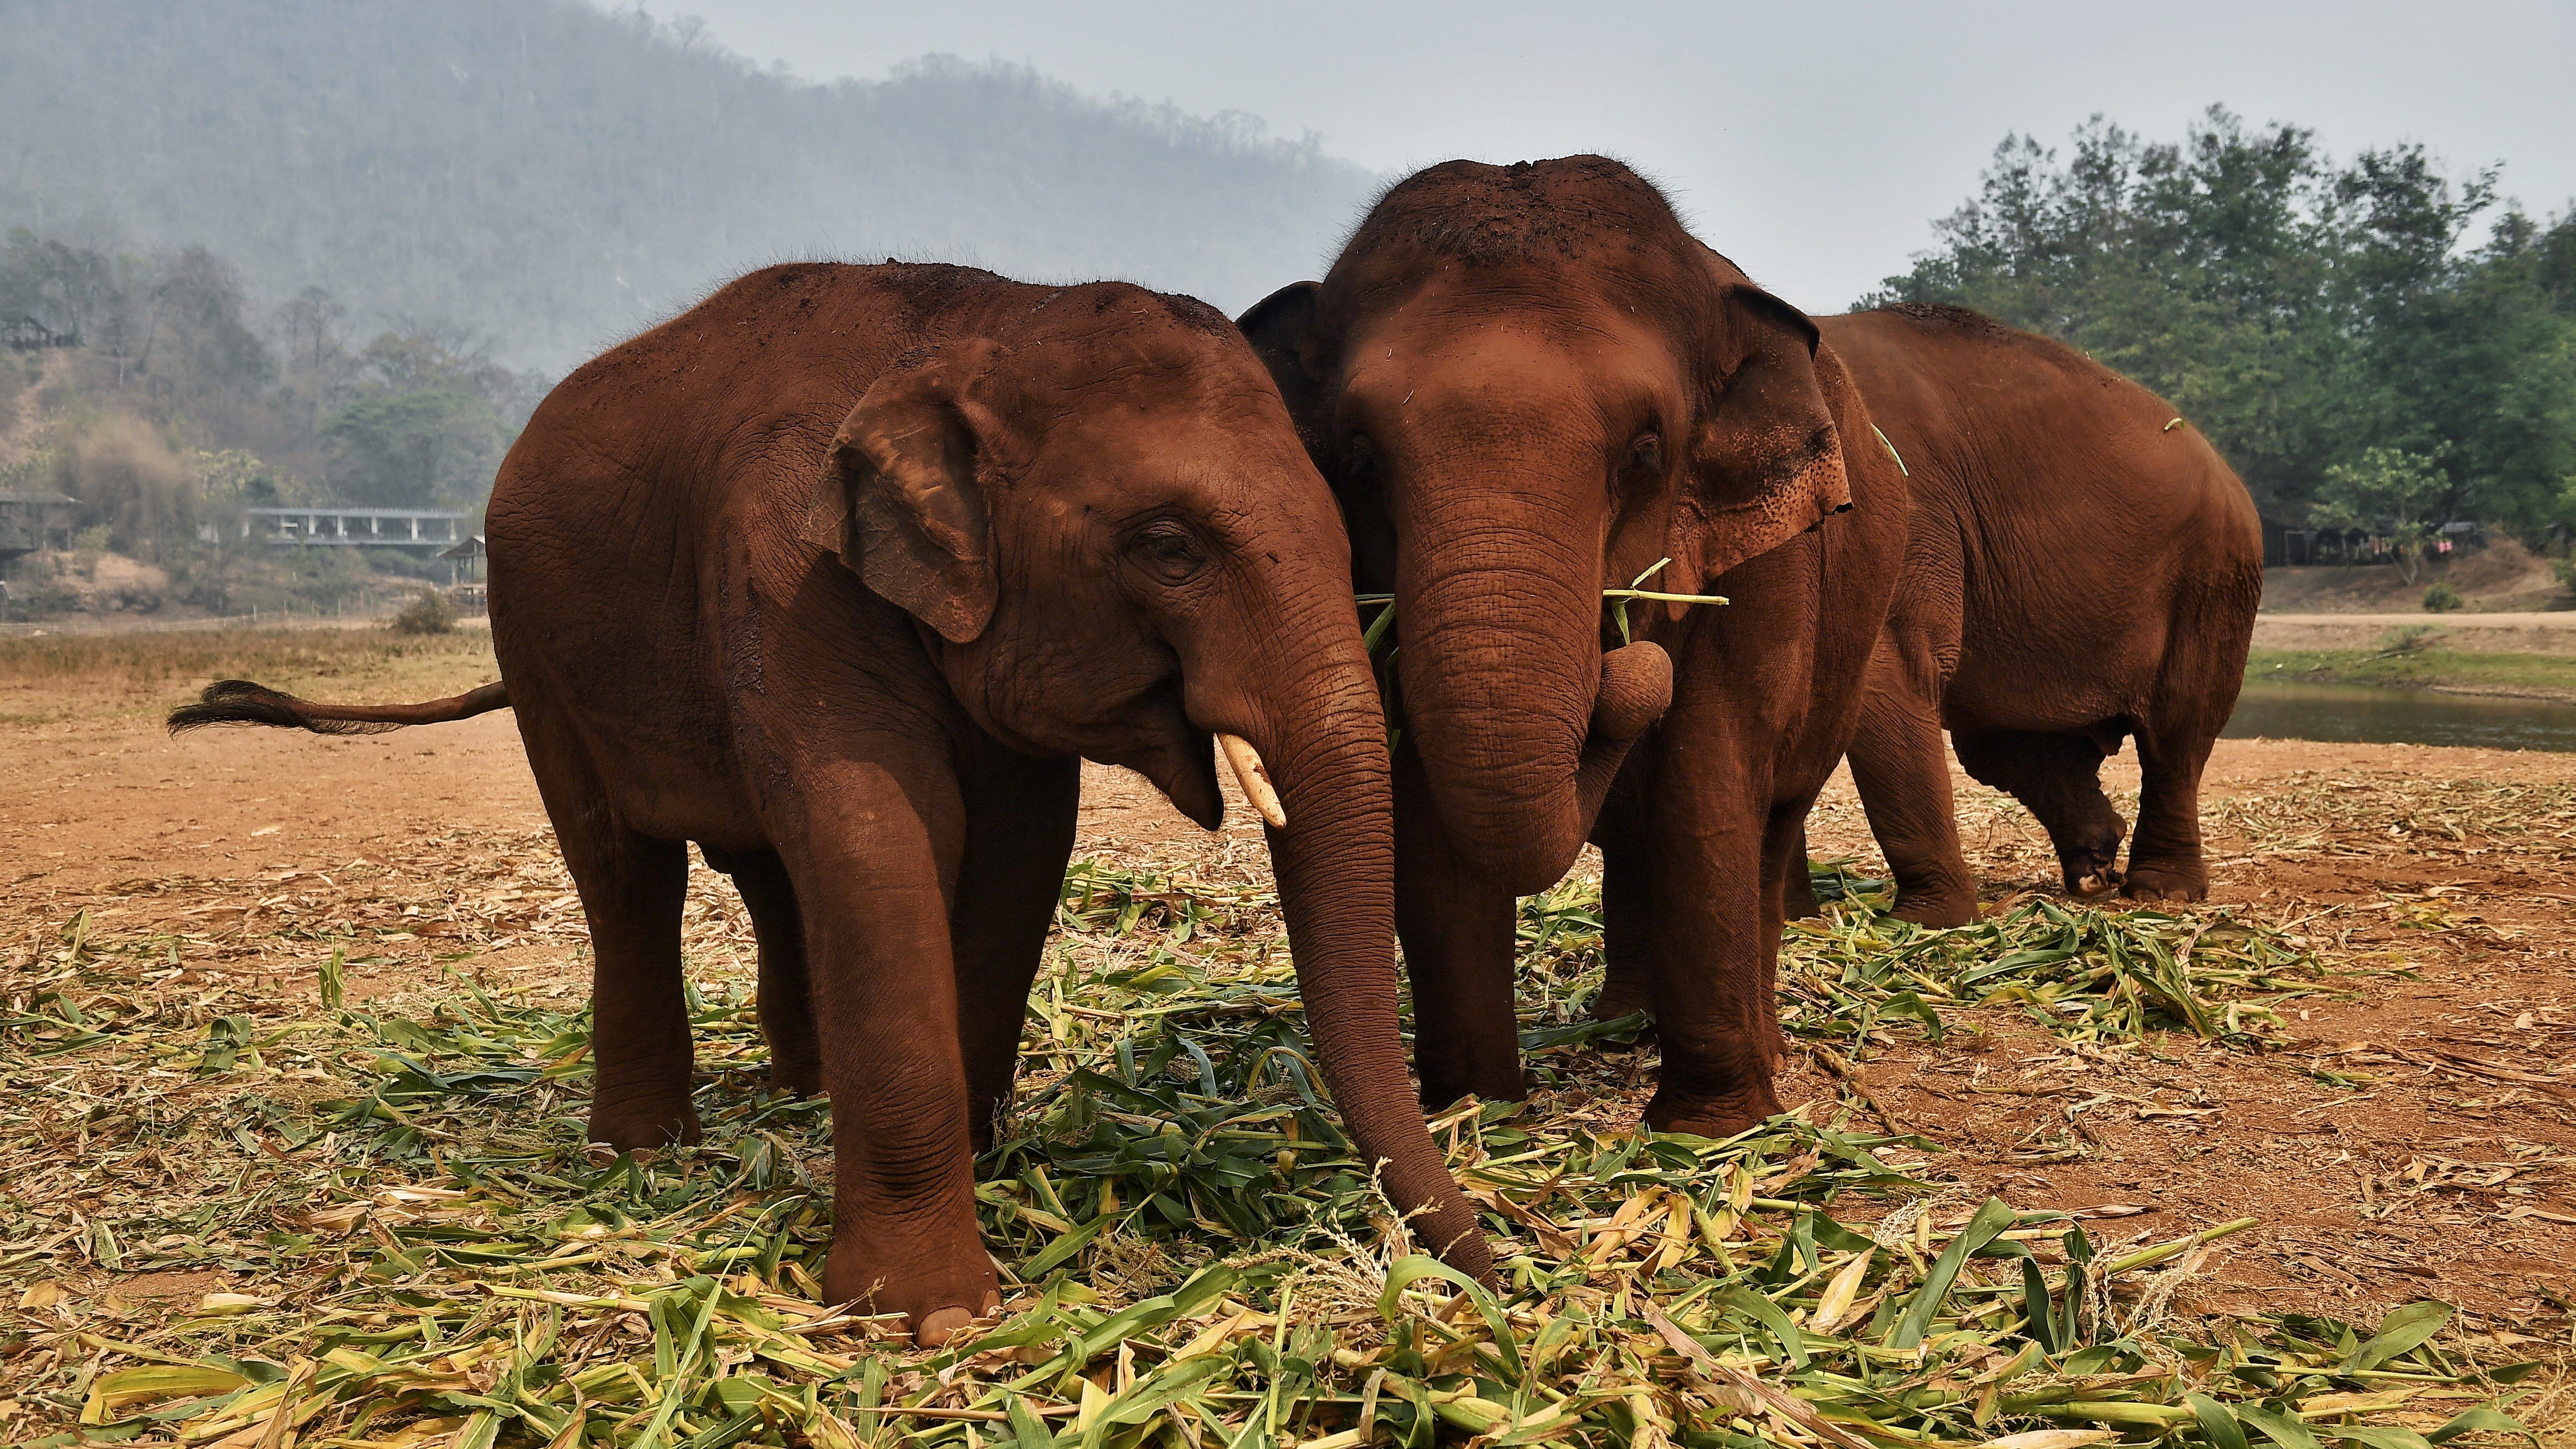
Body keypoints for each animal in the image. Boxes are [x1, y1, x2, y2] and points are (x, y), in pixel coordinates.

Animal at [166, 259, 1494, 1340]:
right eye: (1170, 548)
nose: (1496, 1272)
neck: (989, 321)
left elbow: (1017, 850)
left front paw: (985, 1167)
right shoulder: (786, 568)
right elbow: (878, 834)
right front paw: (927, 1314)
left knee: (763, 867)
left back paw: (801, 1092)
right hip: (535, 639)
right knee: (624, 872)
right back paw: (644, 1147)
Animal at [1236, 155, 1926, 1129]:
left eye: (1643, 450)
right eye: (1361, 457)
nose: (1624, 666)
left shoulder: (1765, 563)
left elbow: (1707, 782)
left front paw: (1706, 1127)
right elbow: (1425, 813)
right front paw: (1474, 1112)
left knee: (1765, 825)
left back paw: (1760, 1049)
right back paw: (1621, 1021)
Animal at [1803, 302, 2266, 923]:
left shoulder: (1901, 513)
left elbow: (1890, 671)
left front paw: (1927, 924)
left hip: (2212, 579)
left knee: (2178, 729)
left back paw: (2159, 892)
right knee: (2005, 744)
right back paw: (2095, 864)